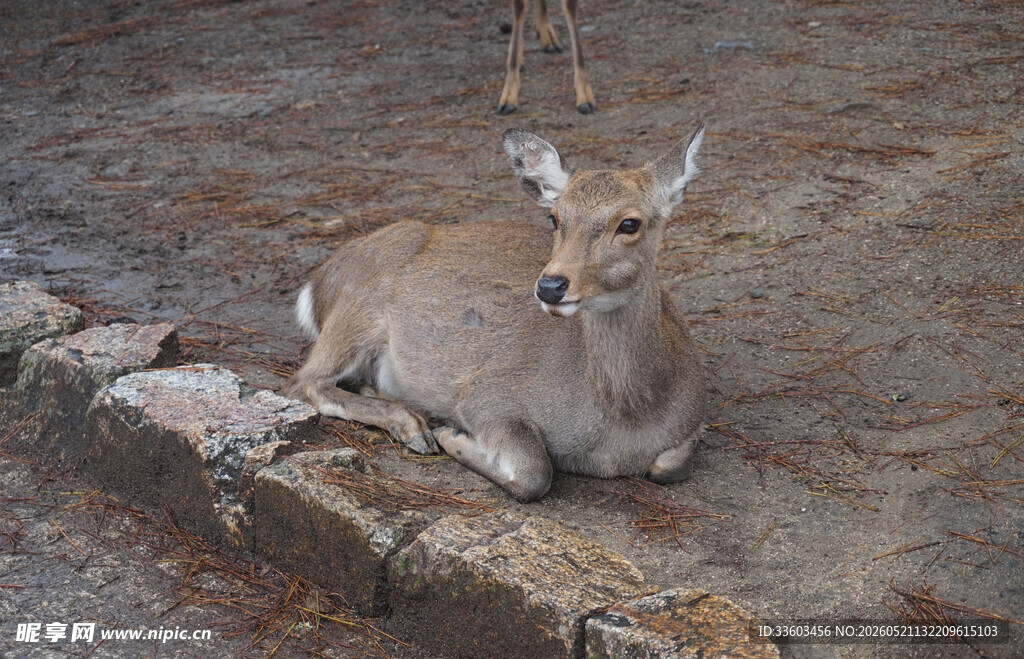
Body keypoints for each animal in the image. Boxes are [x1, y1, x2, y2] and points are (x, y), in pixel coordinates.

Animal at [282, 124, 707, 502]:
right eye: (555, 217)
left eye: (629, 223)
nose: (550, 285)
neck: (623, 427)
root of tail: (318, 284)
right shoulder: (488, 394)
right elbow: (535, 472)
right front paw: (451, 435)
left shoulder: (693, 421)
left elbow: (670, 466)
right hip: (356, 311)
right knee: (304, 382)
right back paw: (412, 425)